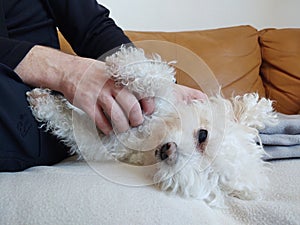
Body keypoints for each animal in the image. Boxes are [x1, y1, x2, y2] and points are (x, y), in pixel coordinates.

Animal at [27, 46, 278, 207]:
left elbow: (75, 130)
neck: (149, 138)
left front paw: (43, 103)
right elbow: (158, 78)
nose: (169, 151)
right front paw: (125, 62)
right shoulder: (161, 100)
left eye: (211, 176)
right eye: (203, 136)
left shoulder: (104, 145)